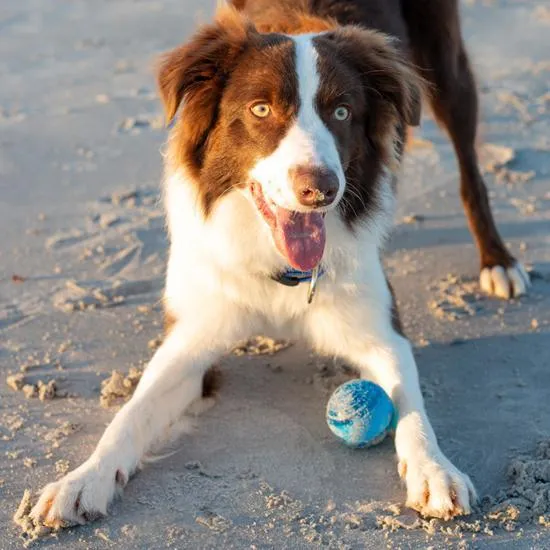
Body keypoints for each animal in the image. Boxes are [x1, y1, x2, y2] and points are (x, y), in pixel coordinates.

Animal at [30, 0, 532, 528]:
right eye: (261, 109)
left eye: (342, 111)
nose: (321, 189)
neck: (280, 271)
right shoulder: (190, 338)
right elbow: (131, 412)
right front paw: (83, 480)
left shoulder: (381, 332)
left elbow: (412, 405)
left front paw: (435, 470)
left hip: (448, 71)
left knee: (470, 170)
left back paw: (498, 261)